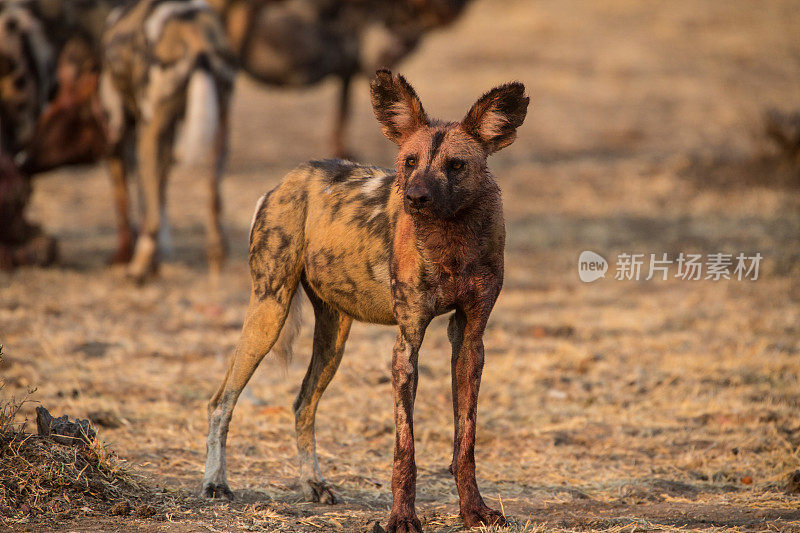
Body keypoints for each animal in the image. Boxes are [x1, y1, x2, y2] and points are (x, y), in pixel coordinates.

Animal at [200, 69, 528, 532]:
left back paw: (314, 484)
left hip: (333, 338)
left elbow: (466, 441)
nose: (415, 198)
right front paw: (402, 518)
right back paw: (216, 484)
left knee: (302, 403)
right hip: (268, 313)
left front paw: (474, 511)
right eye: (409, 162)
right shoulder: (407, 343)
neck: (452, 241)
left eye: (456, 165)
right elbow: (405, 450)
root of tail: (285, 181)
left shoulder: (470, 341)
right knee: (221, 401)